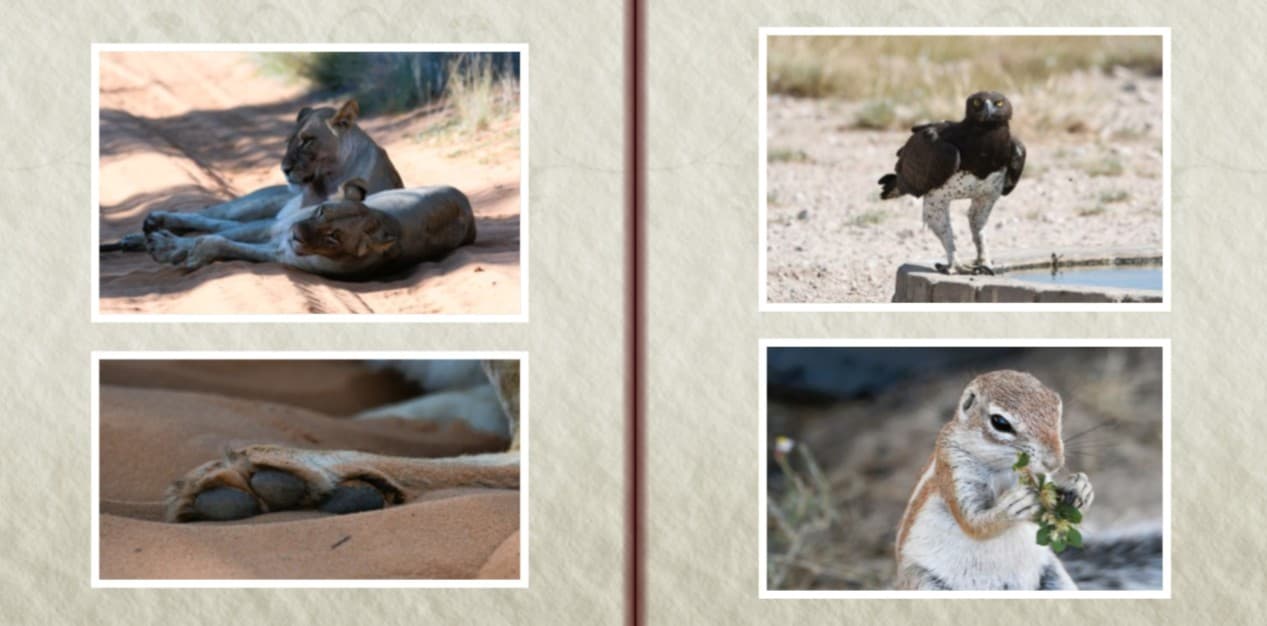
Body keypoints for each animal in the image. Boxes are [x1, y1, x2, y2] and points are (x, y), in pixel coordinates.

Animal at [101, 99, 403, 252]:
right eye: (288, 142)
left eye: (307, 141)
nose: (284, 169)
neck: (325, 181)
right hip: (252, 205)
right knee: (210, 217)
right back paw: (149, 226)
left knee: (216, 225)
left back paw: (144, 235)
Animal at [894, 370, 1095, 590]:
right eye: (1000, 422)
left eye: (1057, 408)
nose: (1054, 463)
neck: (1001, 466)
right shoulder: (954, 469)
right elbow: (973, 523)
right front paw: (1013, 505)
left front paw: (1079, 487)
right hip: (922, 582)